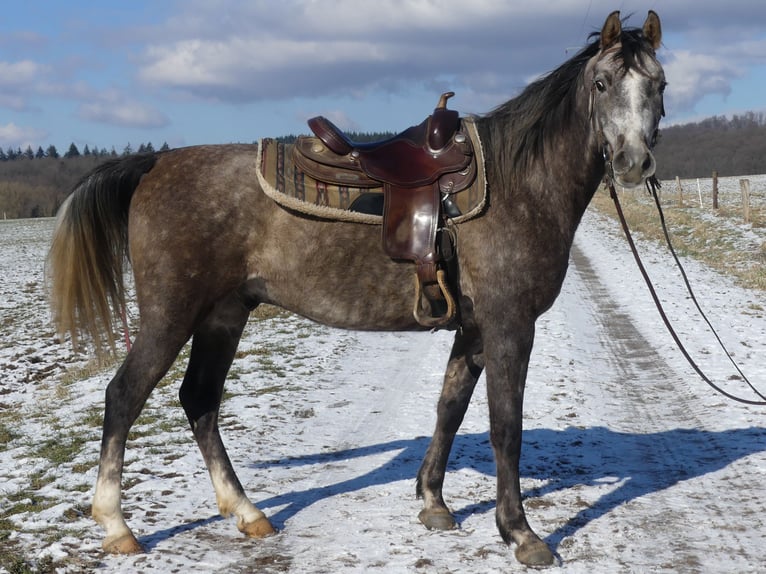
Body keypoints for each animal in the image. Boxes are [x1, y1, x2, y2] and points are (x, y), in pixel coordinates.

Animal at [46, 11, 664, 568]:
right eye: (602, 83)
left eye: (658, 85)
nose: (633, 162)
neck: (518, 184)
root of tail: (153, 165)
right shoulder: (510, 325)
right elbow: (505, 427)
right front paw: (520, 533)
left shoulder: (473, 328)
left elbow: (450, 407)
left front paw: (433, 502)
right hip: (170, 315)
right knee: (124, 397)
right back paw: (117, 526)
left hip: (223, 315)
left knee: (199, 400)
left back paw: (247, 513)